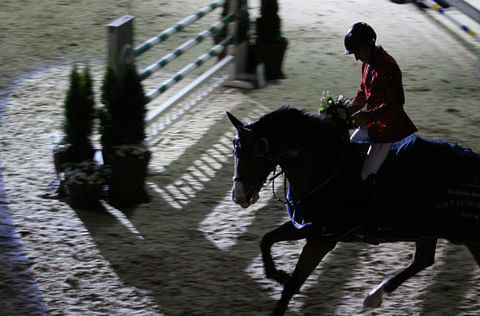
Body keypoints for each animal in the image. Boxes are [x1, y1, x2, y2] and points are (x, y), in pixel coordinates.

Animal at [225, 107, 480, 316]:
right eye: (236, 152)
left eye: (256, 152)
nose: (239, 197)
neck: (324, 170)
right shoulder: (307, 226)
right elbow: (266, 240)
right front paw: (277, 274)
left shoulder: (322, 240)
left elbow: (293, 285)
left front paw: (283, 283)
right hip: (426, 229)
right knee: (423, 260)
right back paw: (374, 297)